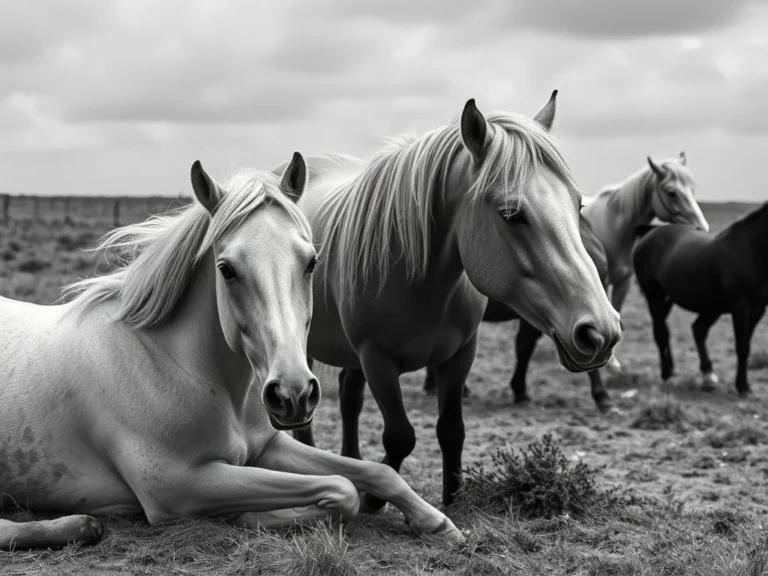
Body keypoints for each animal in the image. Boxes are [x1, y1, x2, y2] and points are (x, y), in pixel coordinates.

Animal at [0, 155, 462, 552]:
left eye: (312, 262)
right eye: (227, 269)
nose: (293, 394)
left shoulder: (268, 447)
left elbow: (371, 472)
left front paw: (437, 522)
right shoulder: (178, 485)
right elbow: (340, 489)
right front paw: (247, 515)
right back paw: (78, 525)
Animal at [584, 151, 712, 374]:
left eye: (692, 189)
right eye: (671, 192)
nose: (702, 228)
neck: (614, 227)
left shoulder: (623, 283)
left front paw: (613, 362)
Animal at [632, 201, 768, 396]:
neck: (751, 250)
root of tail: (649, 233)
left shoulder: (758, 309)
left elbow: (746, 344)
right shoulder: (740, 308)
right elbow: (742, 346)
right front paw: (743, 386)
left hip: (702, 305)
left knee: (695, 330)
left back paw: (705, 376)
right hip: (655, 296)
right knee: (661, 332)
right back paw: (667, 373)